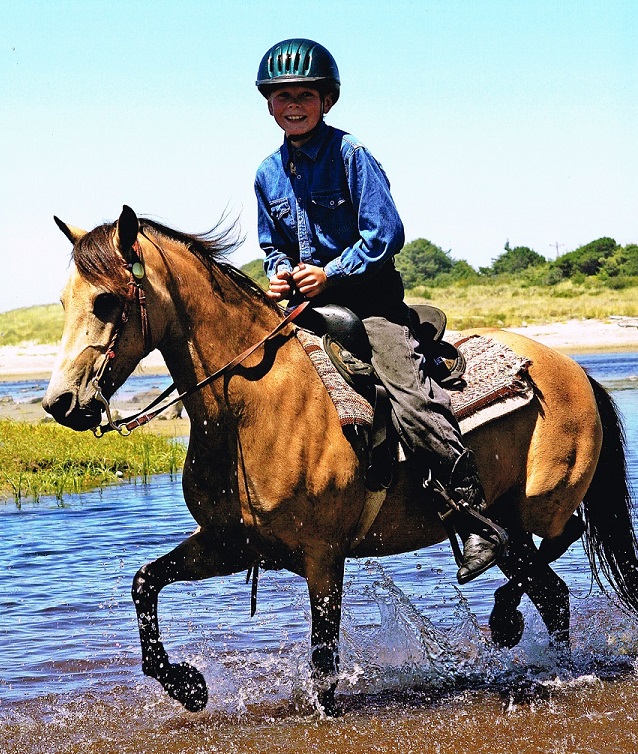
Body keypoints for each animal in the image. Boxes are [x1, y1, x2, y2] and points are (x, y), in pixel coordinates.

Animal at [43, 204, 638, 712]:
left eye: (106, 301)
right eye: (64, 303)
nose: (60, 403)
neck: (253, 407)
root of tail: (572, 369)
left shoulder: (323, 556)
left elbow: (324, 665)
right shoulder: (232, 543)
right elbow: (145, 582)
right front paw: (186, 686)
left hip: (540, 502)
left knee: (564, 538)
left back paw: (505, 618)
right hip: (509, 523)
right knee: (551, 591)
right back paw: (530, 641)